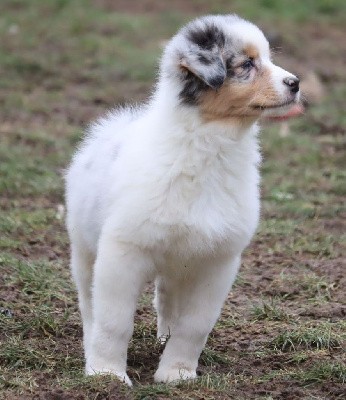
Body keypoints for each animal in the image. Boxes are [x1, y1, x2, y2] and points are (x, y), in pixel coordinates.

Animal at [65, 14, 300, 386]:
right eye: (247, 64)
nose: (296, 83)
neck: (210, 145)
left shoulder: (217, 260)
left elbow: (194, 325)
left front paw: (176, 373)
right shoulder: (122, 253)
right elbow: (114, 321)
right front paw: (107, 374)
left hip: (181, 259)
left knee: (167, 300)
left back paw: (164, 339)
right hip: (85, 249)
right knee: (90, 305)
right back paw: (93, 350)